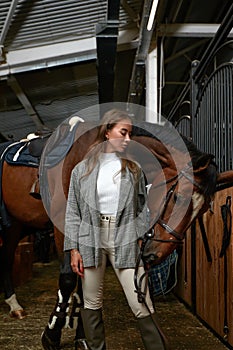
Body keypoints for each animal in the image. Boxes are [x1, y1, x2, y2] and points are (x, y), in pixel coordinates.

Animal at [0, 116, 232, 348]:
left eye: (204, 209)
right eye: (179, 197)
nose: (154, 255)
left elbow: (85, 286)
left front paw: (82, 336)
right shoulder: (63, 226)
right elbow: (68, 280)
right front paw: (51, 336)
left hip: (16, 225)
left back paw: (15, 305)